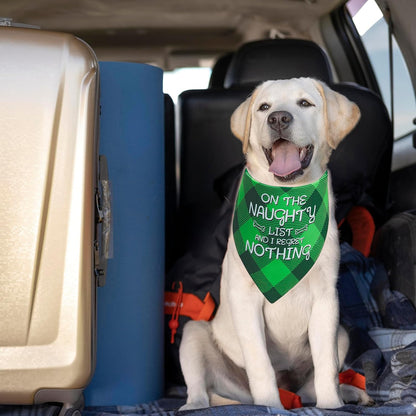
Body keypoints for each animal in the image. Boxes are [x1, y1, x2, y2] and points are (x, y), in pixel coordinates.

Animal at [179, 77, 370, 410]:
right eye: (264, 107)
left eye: (305, 103)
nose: (278, 118)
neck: (285, 206)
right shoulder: (245, 300)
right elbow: (260, 364)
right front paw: (269, 404)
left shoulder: (326, 300)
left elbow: (326, 366)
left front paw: (332, 406)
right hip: (194, 335)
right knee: (201, 391)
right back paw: (196, 406)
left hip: (342, 335)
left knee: (310, 388)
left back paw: (347, 393)